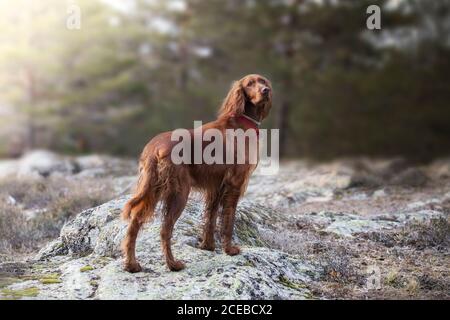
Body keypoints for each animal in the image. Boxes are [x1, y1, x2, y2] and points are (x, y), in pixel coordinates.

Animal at [121, 74, 272, 272]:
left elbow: (211, 217)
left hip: (153, 189)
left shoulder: (216, 187)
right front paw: (229, 250)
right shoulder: (234, 184)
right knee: (165, 229)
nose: (265, 91)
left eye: (263, 82)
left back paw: (132, 264)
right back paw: (173, 264)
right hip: (180, 192)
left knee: (135, 221)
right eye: (250, 84)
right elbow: (228, 220)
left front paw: (208, 246)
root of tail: (155, 147)